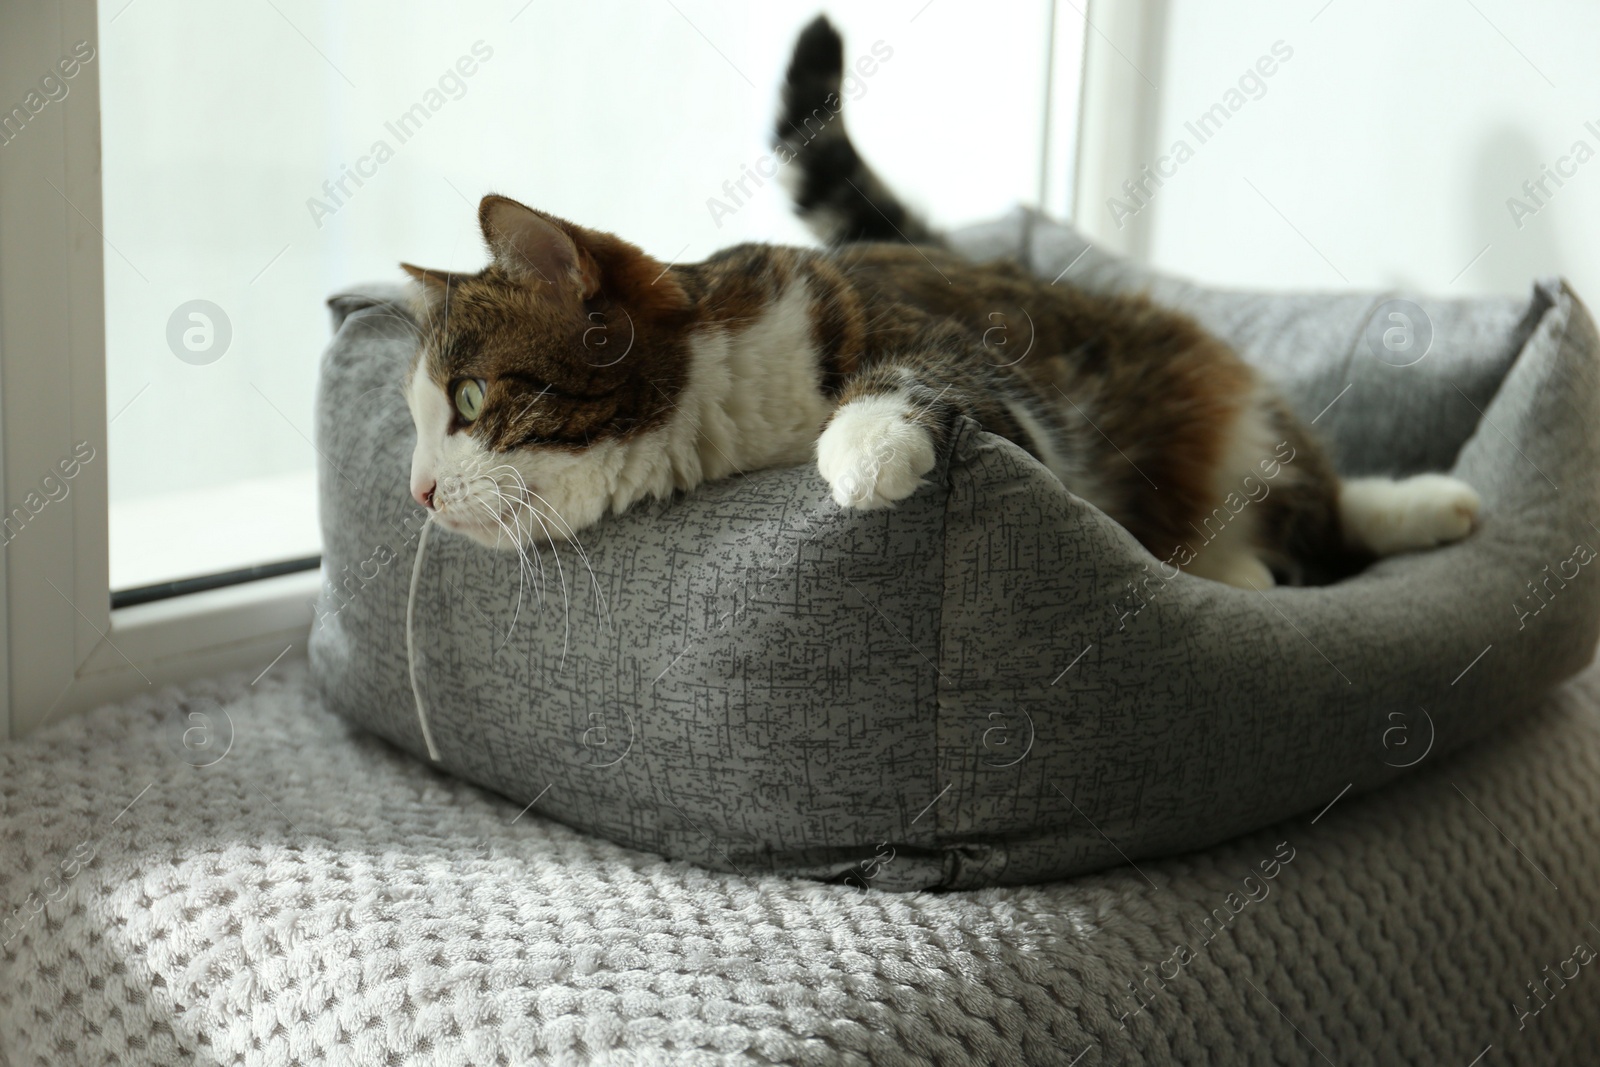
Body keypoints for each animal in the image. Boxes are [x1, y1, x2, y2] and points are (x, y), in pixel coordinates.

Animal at [406, 12, 1478, 588]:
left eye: (470, 398)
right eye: (415, 422)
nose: (417, 489)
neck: (736, 426)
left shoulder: (983, 375)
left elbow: (920, 377)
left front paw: (866, 451)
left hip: (1227, 409)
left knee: (1326, 509)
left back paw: (1422, 506)